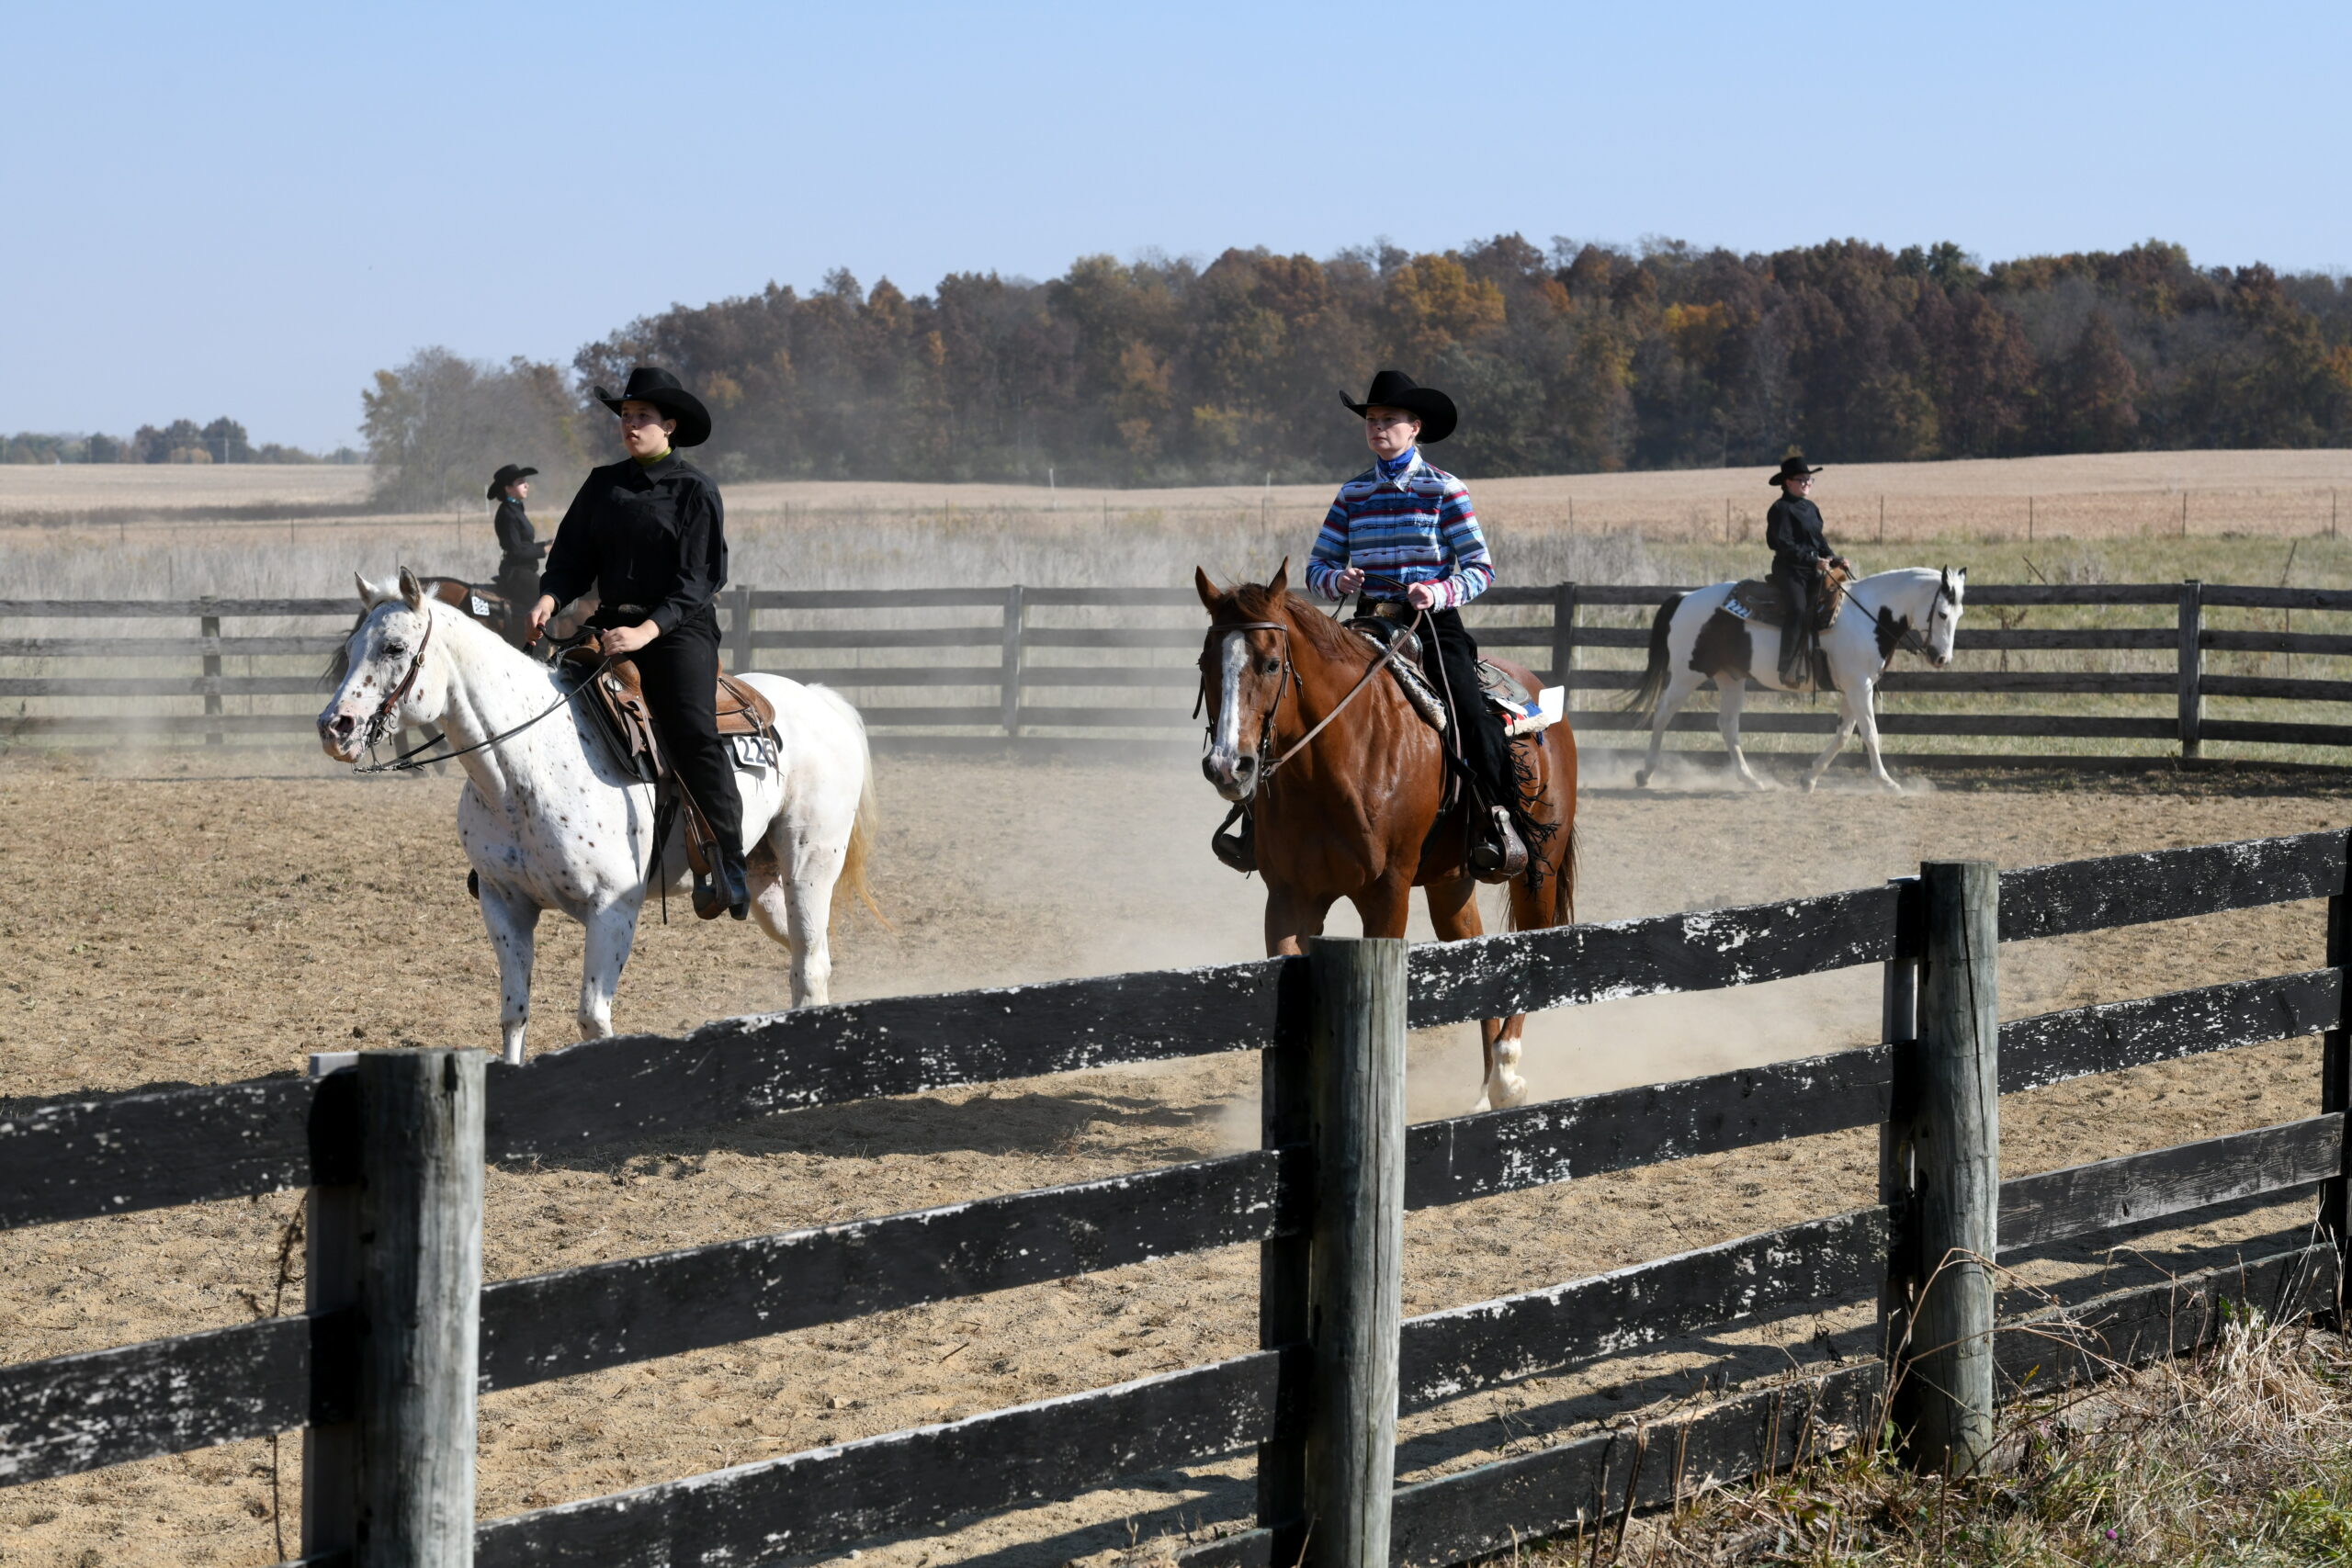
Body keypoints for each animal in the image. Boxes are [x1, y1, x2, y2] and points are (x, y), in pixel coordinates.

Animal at [322, 566, 884, 1066]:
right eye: (350, 649)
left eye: (395, 647)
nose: (334, 726)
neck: (526, 765)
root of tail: (819, 699)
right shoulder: (505, 904)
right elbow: (514, 1012)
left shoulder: (612, 909)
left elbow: (593, 1019)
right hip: (766, 885)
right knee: (809, 960)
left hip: (809, 866)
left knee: (810, 966)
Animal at [1194, 570, 1580, 1109]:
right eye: (1205, 663)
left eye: (1271, 663)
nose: (1228, 766)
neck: (1335, 763)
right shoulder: (1290, 898)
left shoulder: (1387, 895)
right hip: (1450, 882)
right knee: (1476, 948)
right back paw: (1483, 1094)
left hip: (1537, 867)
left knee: (1532, 944)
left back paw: (1506, 1077)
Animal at [1627, 564, 1956, 789]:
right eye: (1942, 613)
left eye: (1959, 614)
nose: (1941, 658)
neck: (1869, 615)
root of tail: (1684, 598)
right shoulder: (1859, 687)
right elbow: (1870, 734)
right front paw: (1887, 782)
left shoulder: (1854, 687)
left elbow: (1843, 735)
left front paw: (1808, 779)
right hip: (1687, 673)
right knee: (1663, 713)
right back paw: (1645, 773)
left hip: (1730, 678)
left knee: (1728, 725)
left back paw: (1750, 780)